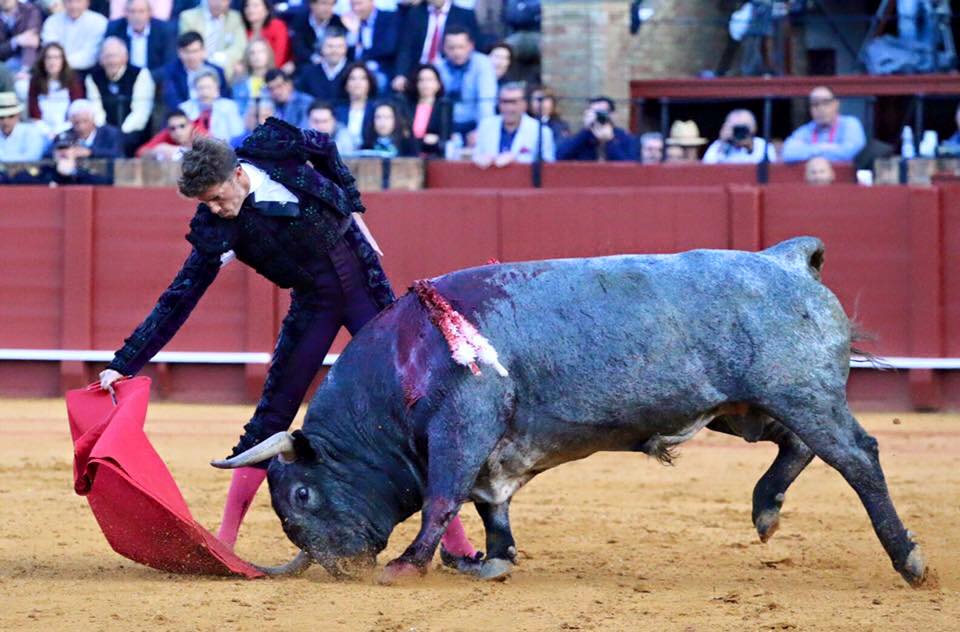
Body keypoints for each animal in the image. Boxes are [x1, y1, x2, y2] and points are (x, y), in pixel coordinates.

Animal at [216, 238, 928, 588]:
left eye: (302, 494)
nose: (341, 568)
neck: (404, 362)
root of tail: (787, 260)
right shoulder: (494, 454)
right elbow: (490, 504)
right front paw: (490, 561)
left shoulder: (460, 426)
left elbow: (443, 497)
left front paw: (407, 566)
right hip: (751, 406)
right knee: (800, 447)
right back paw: (766, 510)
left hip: (799, 391)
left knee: (856, 457)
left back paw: (909, 560)